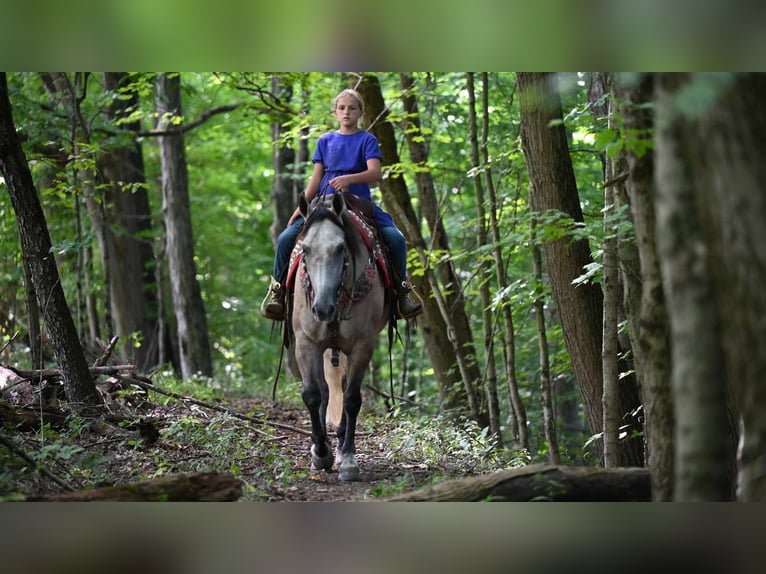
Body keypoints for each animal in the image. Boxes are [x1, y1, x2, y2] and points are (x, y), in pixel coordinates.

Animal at [284, 192, 392, 482]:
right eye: (305, 250)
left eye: (341, 248)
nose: (323, 309)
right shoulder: (306, 342)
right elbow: (312, 394)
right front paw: (321, 453)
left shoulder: (362, 344)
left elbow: (352, 398)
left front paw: (349, 460)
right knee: (324, 389)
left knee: (343, 389)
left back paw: (342, 445)